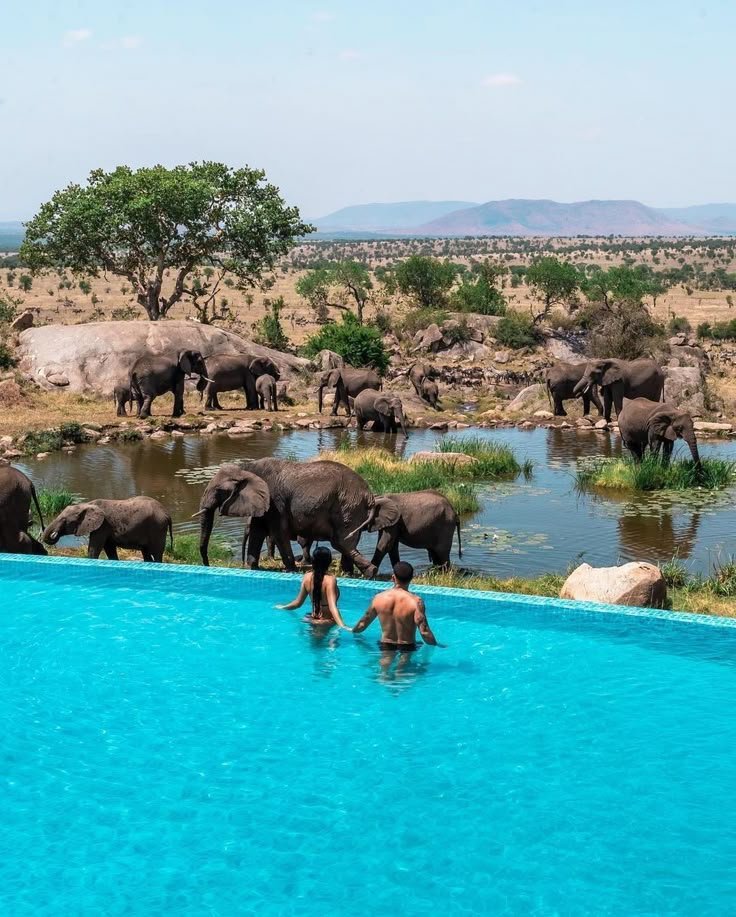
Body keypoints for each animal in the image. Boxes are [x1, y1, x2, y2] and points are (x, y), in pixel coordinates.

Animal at [43, 496, 173, 562]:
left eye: (64, 520)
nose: (54, 534)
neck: (86, 504)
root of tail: (167, 513)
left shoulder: (103, 526)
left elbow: (94, 549)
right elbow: (109, 549)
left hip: (157, 528)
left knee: (157, 553)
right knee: (146, 552)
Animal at [197, 458, 400, 577]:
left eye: (219, 491)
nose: (206, 565)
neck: (245, 468)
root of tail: (369, 495)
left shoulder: (275, 501)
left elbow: (278, 532)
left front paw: (291, 570)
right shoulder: (265, 502)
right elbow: (257, 531)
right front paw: (252, 568)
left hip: (348, 506)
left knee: (341, 542)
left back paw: (370, 573)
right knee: (345, 544)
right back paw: (350, 574)